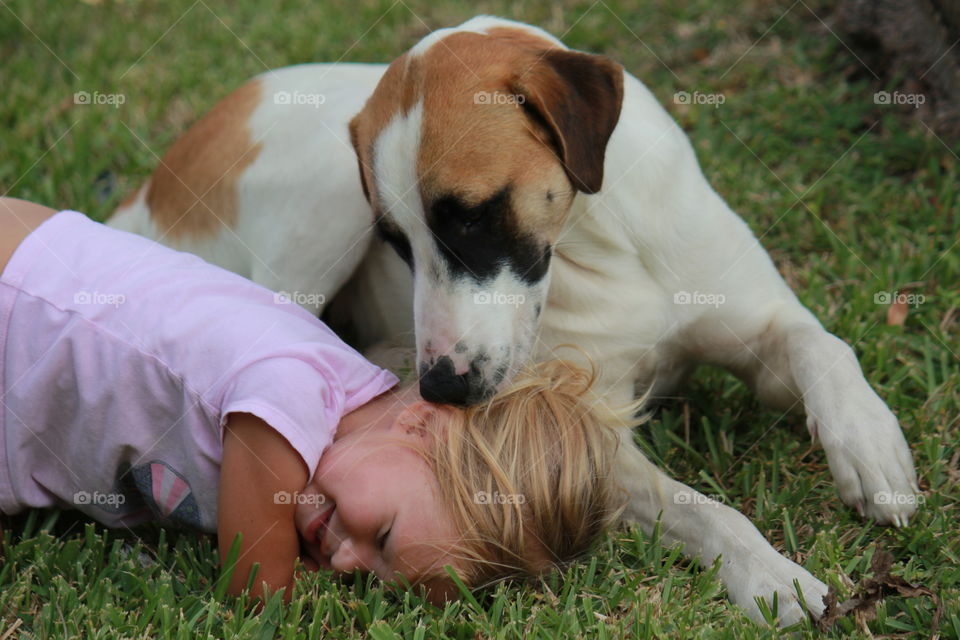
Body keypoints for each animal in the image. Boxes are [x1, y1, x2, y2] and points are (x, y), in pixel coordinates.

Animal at [109, 16, 920, 632]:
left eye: (470, 216)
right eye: (395, 242)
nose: (440, 387)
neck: (596, 240)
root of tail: (143, 196)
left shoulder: (760, 324)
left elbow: (826, 346)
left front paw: (871, 446)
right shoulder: (586, 431)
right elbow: (701, 507)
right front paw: (769, 572)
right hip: (325, 197)